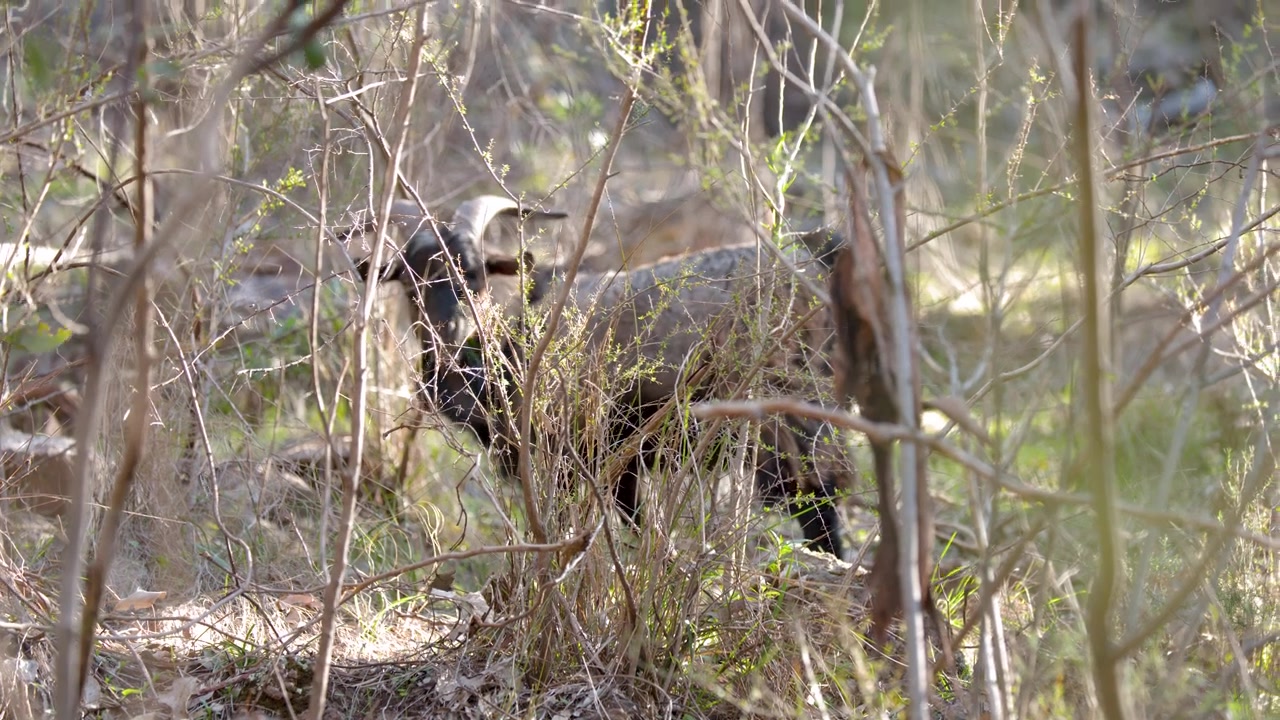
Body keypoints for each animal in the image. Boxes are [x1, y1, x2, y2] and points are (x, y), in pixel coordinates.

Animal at [357, 195, 853, 557]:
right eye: (410, 281)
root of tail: (818, 257)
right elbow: (639, 528)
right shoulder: (616, 468)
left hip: (790, 418)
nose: (450, 333)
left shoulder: (572, 458)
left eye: (474, 273)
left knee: (819, 504)